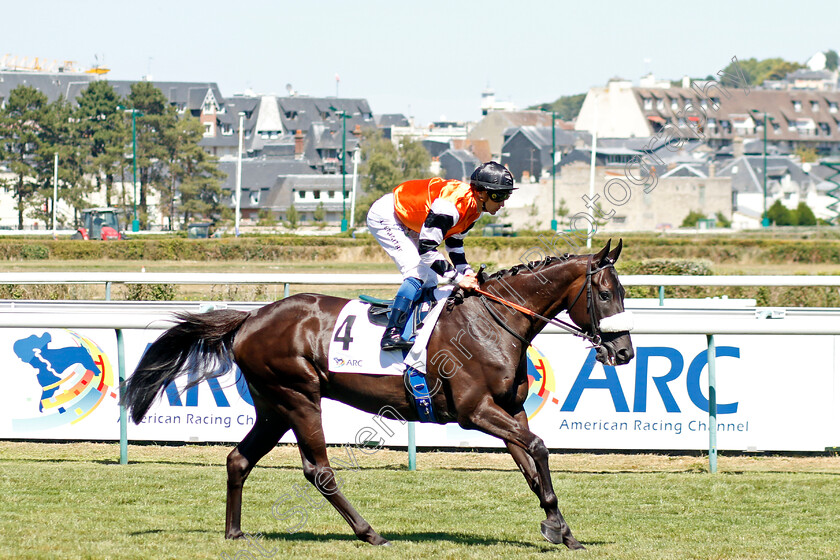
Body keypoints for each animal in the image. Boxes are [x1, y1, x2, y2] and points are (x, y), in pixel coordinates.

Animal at [121, 238, 632, 548]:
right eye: (606, 294)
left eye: (624, 294)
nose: (624, 351)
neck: (493, 323)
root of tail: (252, 317)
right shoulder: (475, 411)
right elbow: (540, 448)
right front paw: (556, 526)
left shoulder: (509, 410)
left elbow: (531, 465)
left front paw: (561, 528)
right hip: (298, 395)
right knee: (319, 470)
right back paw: (370, 533)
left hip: (272, 405)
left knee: (238, 459)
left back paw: (235, 533)